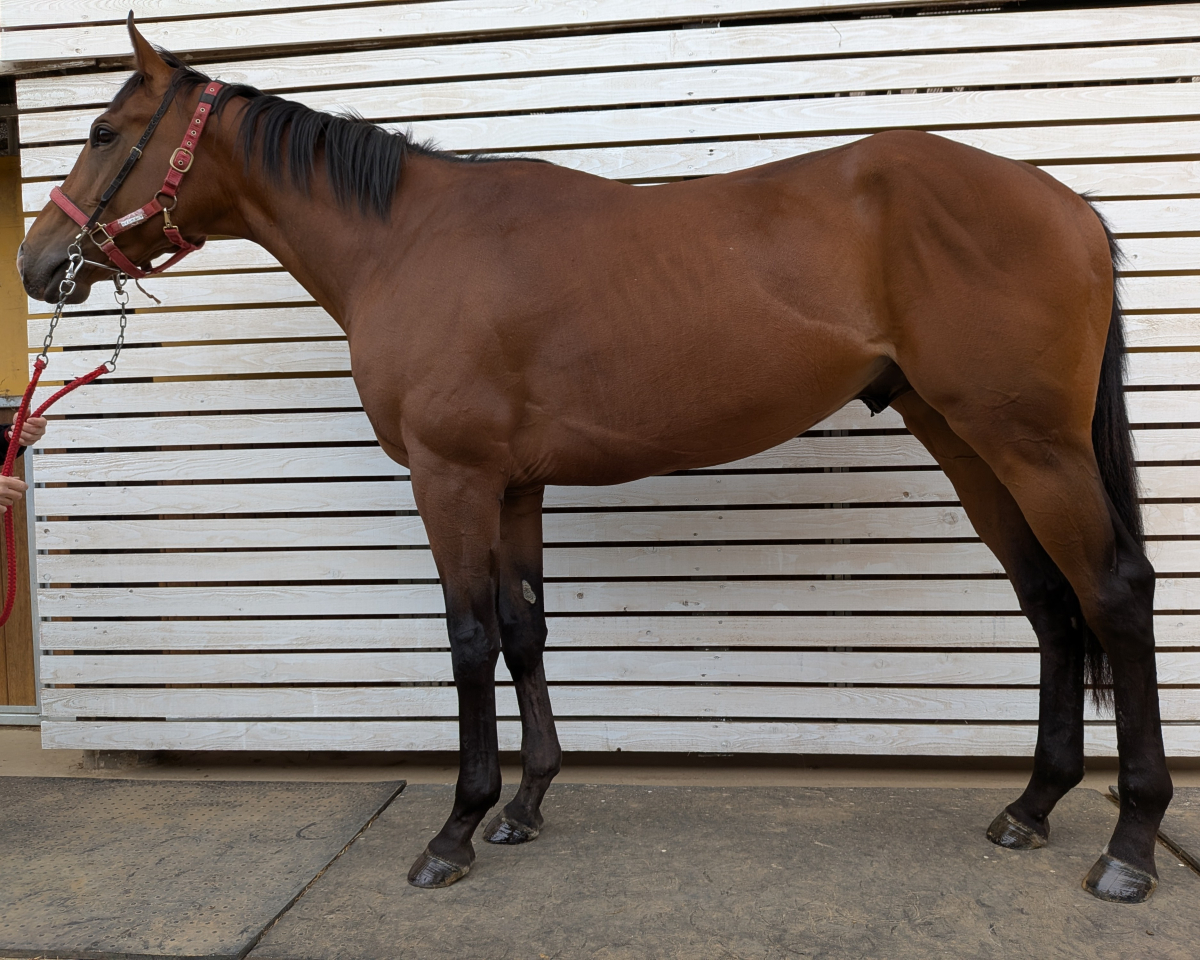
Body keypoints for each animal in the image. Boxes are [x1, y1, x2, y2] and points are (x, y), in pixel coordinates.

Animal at [20, 16, 1170, 903]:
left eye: (103, 130)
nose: (37, 263)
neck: (409, 242)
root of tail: (1062, 201)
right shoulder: (514, 483)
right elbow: (526, 628)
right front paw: (526, 805)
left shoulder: (451, 478)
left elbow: (471, 637)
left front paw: (456, 828)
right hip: (967, 438)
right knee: (1049, 600)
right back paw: (1032, 805)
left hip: (1031, 443)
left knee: (1111, 592)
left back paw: (1129, 846)